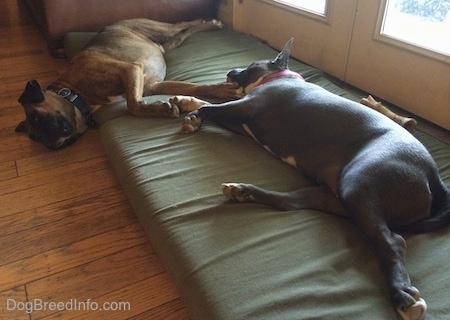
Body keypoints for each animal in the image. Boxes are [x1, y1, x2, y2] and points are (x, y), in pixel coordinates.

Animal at [15, 19, 241, 149]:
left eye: (36, 117)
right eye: (35, 137)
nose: (51, 145)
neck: (75, 92)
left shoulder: (130, 69)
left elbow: (133, 105)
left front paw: (161, 109)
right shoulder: (154, 85)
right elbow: (194, 87)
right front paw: (221, 89)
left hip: (160, 29)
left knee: (185, 22)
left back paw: (211, 23)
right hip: (170, 43)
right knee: (185, 32)